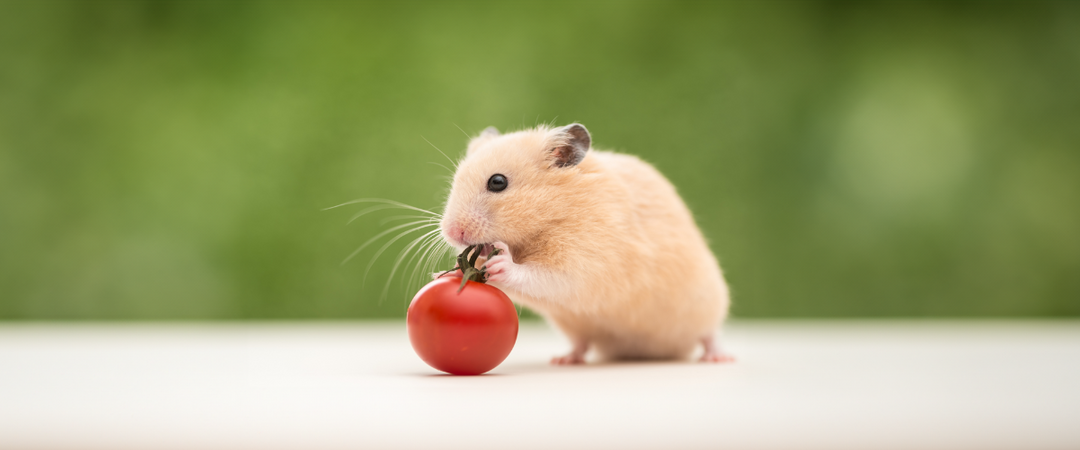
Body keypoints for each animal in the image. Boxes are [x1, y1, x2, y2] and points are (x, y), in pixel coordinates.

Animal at [439, 123, 732, 364]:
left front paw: (502, 262)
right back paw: (564, 359)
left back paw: (719, 357)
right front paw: (448, 271)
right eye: (455, 181)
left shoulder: (585, 263)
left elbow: (542, 275)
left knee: (709, 334)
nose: (453, 232)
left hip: (708, 302)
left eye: (498, 182)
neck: (552, 216)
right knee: (582, 344)